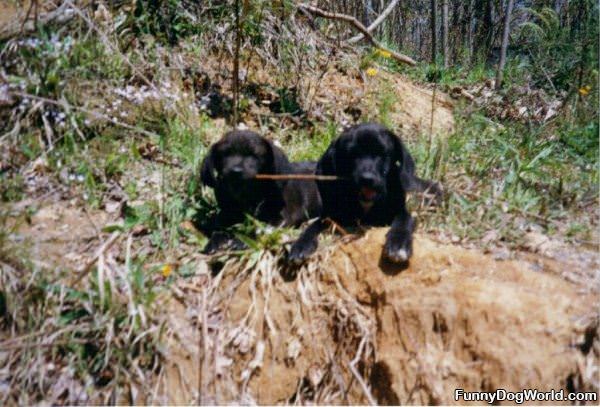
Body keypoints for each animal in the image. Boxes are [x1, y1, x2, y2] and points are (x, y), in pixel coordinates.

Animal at [288, 122, 442, 266]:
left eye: (382, 153)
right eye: (351, 154)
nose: (367, 179)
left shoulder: (403, 210)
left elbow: (404, 219)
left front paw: (399, 244)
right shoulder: (332, 216)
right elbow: (315, 225)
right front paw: (301, 244)